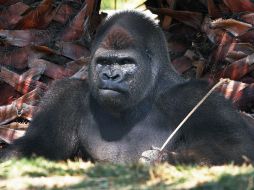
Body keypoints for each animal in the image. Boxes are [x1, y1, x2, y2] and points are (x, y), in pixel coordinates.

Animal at [1, 11, 254, 165]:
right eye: (103, 62)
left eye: (125, 62)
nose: (110, 76)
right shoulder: (64, 95)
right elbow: (38, 145)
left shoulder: (195, 96)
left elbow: (236, 146)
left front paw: (164, 159)